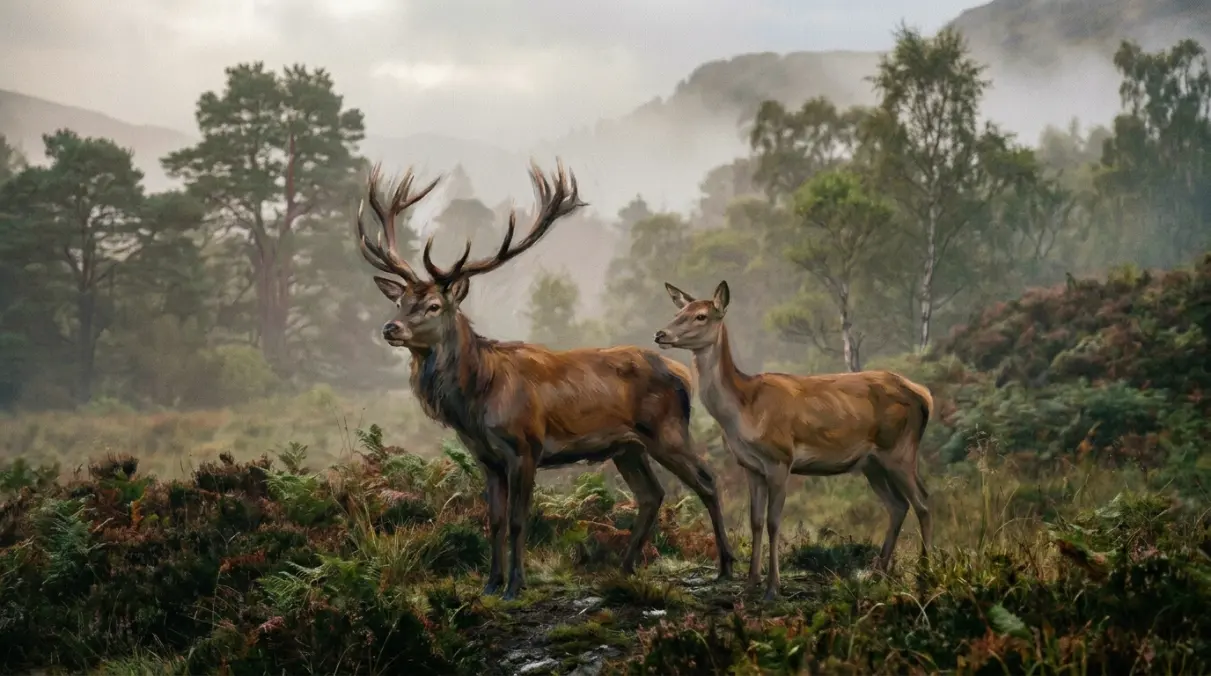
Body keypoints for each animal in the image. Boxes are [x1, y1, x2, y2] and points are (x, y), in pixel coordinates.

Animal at [352, 161, 736, 600]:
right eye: (399, 301)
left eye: (433, 305)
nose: (391, 327)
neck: (477, 398)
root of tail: (682, 373)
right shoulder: (486, 457)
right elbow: (495, 520)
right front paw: (490, 583)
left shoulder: (526, 447)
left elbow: (520, 520)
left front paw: (515, 585)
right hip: (627, 446)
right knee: (651, 494)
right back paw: (624, 567)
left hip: (667, 431)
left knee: (707, 480)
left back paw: (726, 566)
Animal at [655, 280, 934, 600]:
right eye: (679, 312)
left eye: (701, 315)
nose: (660, 334)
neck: (744, 408)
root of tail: (924, 395)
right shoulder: (750, 466)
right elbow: (755, 521)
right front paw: (750, 583)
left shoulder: (780, 459)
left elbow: (774, 522)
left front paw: (772, 587)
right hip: (871, 463)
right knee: (898, 506)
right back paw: (878, 574)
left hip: (899, 450)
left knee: (923, 503)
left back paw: (925, 575)